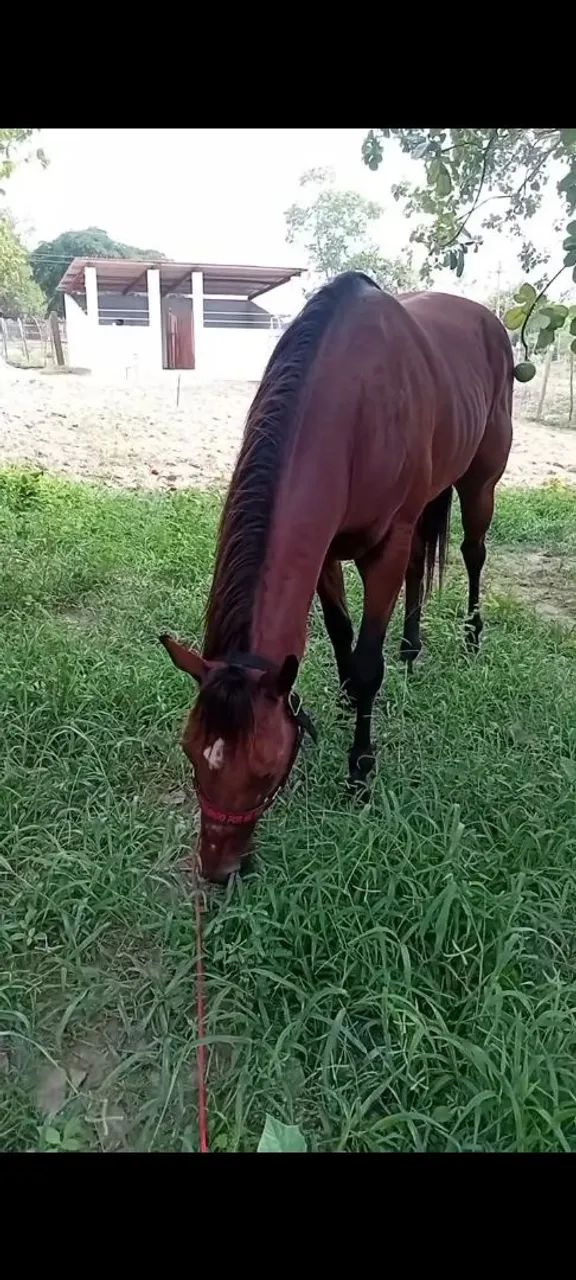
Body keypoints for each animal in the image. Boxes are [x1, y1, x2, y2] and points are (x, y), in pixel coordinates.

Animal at [160, 272, 514, 883]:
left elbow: (368, 661)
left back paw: (471, 638)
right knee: (423, 565)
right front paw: (345, 701)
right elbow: (339, 631)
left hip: (481, 480)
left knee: (473, 552)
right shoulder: (324, 550)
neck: (355, 409)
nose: (218, 869)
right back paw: (411, 648)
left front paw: (360, 770)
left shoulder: (384, 549)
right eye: (191, 752)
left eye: (264, 771)